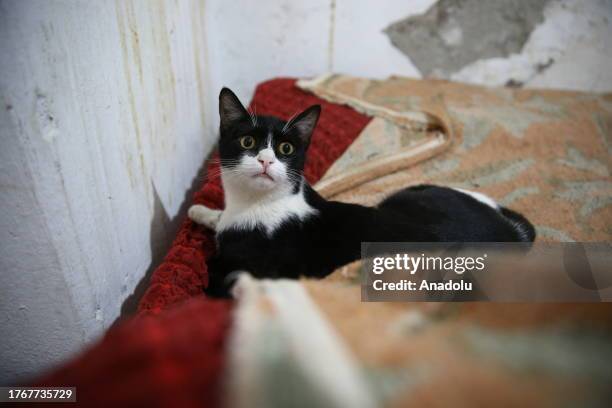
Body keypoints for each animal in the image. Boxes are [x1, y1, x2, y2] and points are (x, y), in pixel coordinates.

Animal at [188, 87, 536, 294]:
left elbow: (217, 275)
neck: (254, 204)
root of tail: (512, 231)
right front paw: (203, 211)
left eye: (286, 148)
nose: (265, 160)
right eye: (247, 141)